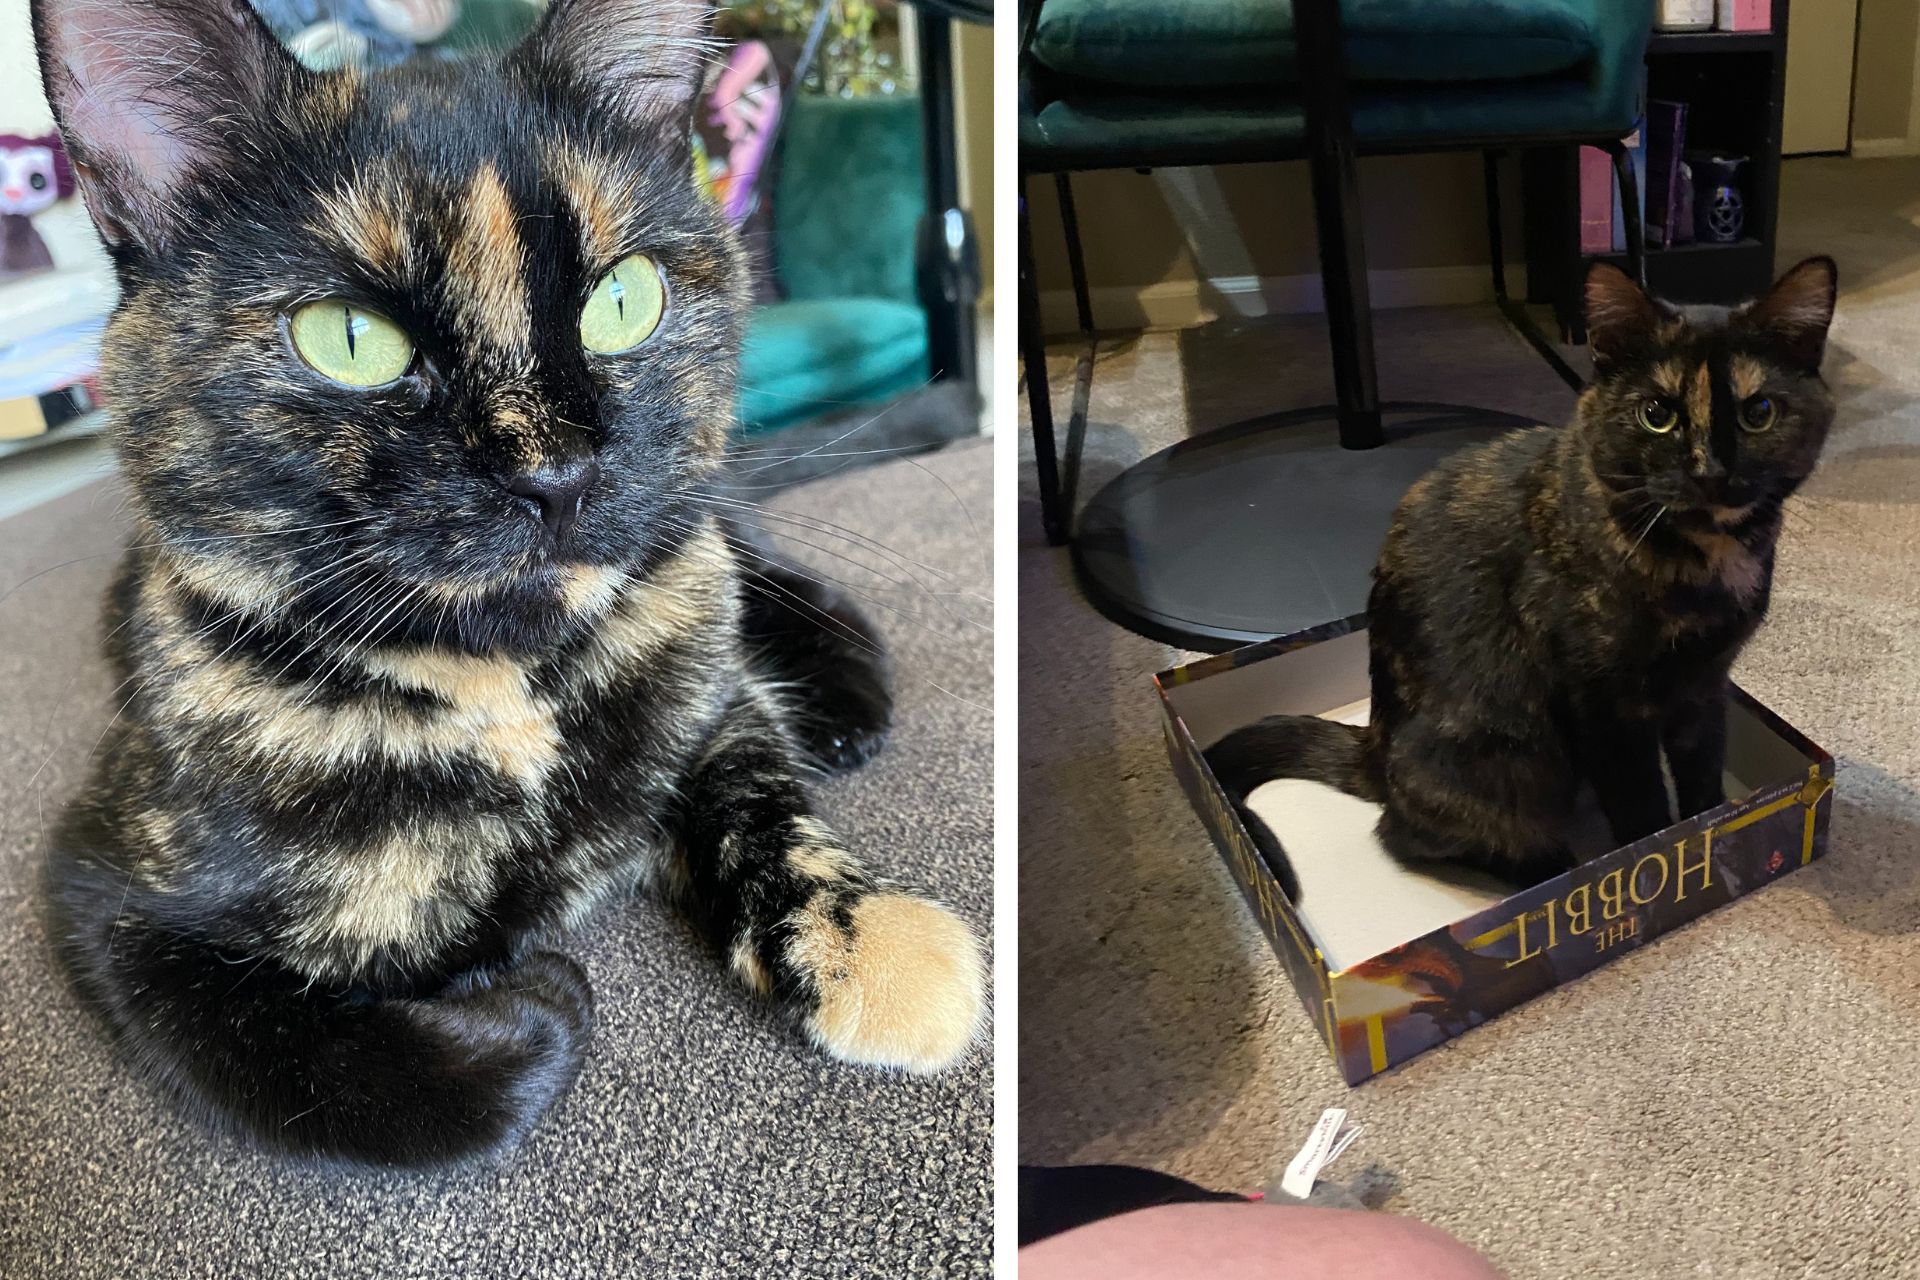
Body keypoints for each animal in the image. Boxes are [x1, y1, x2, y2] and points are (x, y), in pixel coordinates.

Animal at [1205, 257, 1835, 901]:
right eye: (1657, 415)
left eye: (1759, 413)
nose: (1711, 472)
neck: (1704, 559)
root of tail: (1374, 750)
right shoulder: (1603, 704)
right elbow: (1639, 802)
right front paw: (1653, 861)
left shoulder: (1705, 683)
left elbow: (1704, 773)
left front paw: (1709, 835)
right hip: (1509, 756)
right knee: (1405, 835)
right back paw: (1548, 867)